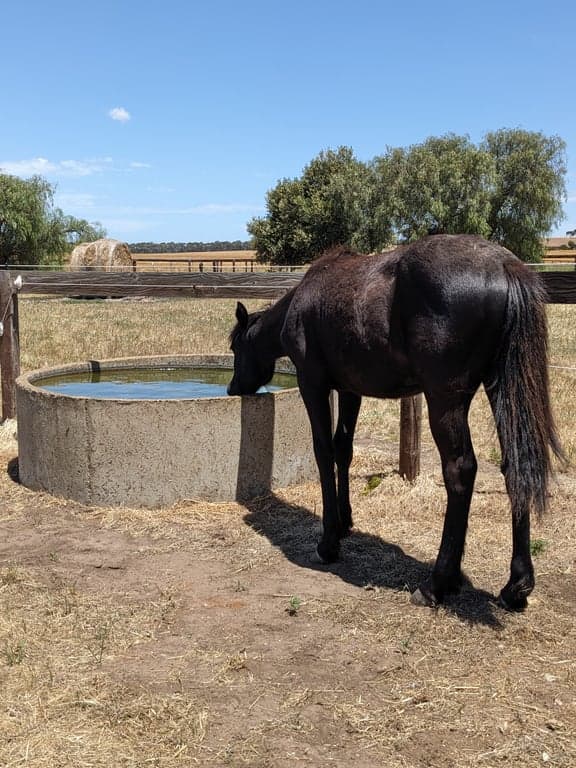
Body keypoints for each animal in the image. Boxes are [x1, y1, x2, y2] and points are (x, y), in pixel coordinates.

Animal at [228, 234, 564, 611]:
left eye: (236, 348)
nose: (232, 388)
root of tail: (503, 265)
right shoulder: (350, 390)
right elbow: (343, 450)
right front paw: (345, 522)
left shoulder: (312, 386)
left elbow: (323, 452)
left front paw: (328, 543)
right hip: (500, 388)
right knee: (516, 467)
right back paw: (516, 587)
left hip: (445, 400)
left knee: (460, 471)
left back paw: (437, 584)